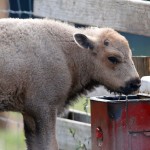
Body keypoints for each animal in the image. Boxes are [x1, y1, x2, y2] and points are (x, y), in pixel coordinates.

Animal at [0, 18, 141, 149]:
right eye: (112, 58)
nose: (135, 83)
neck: (67, 54)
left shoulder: (30, 114)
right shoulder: (43, 109)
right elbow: (49, 145)